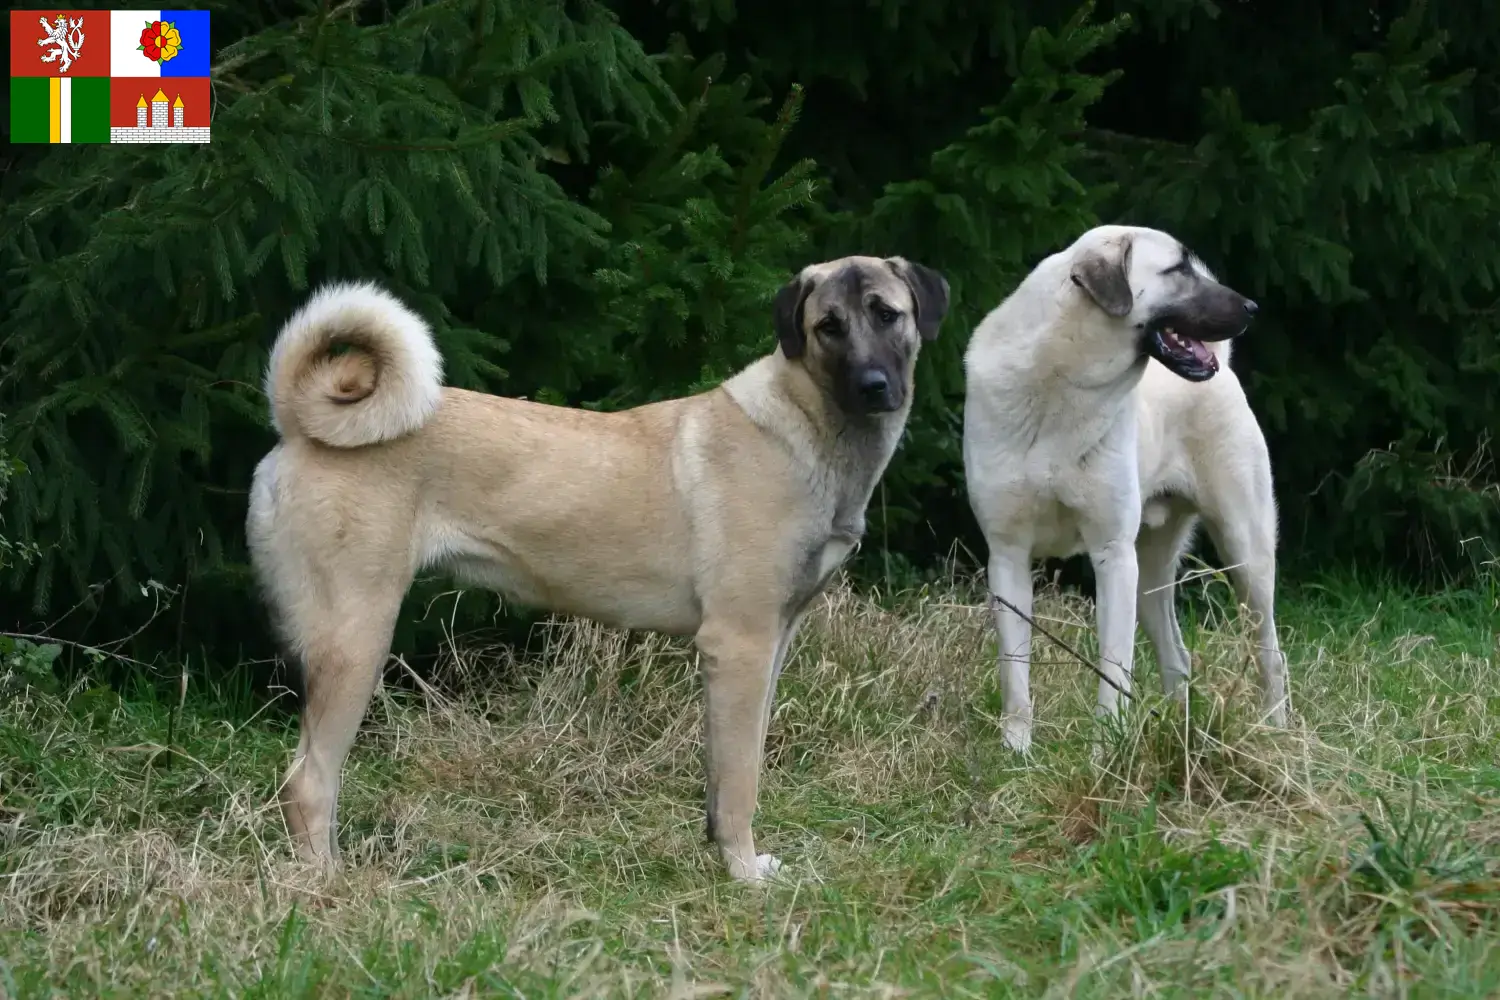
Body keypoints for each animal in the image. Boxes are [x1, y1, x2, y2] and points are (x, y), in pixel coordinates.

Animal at [960, 220, 1290, 749]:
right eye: (1177, 269)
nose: (1252, 308)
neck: (1064, 381)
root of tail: (1226, 371)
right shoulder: (1007, 556)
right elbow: (1015, 672)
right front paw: (1016, 751)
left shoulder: (1113, 556)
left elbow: (1113, 668)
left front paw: (1105, 751)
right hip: (1150, 576)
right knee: (1178, 658)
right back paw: (1181, 731)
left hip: (1246, 556)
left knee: (1270, 654)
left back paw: (1275, 734)